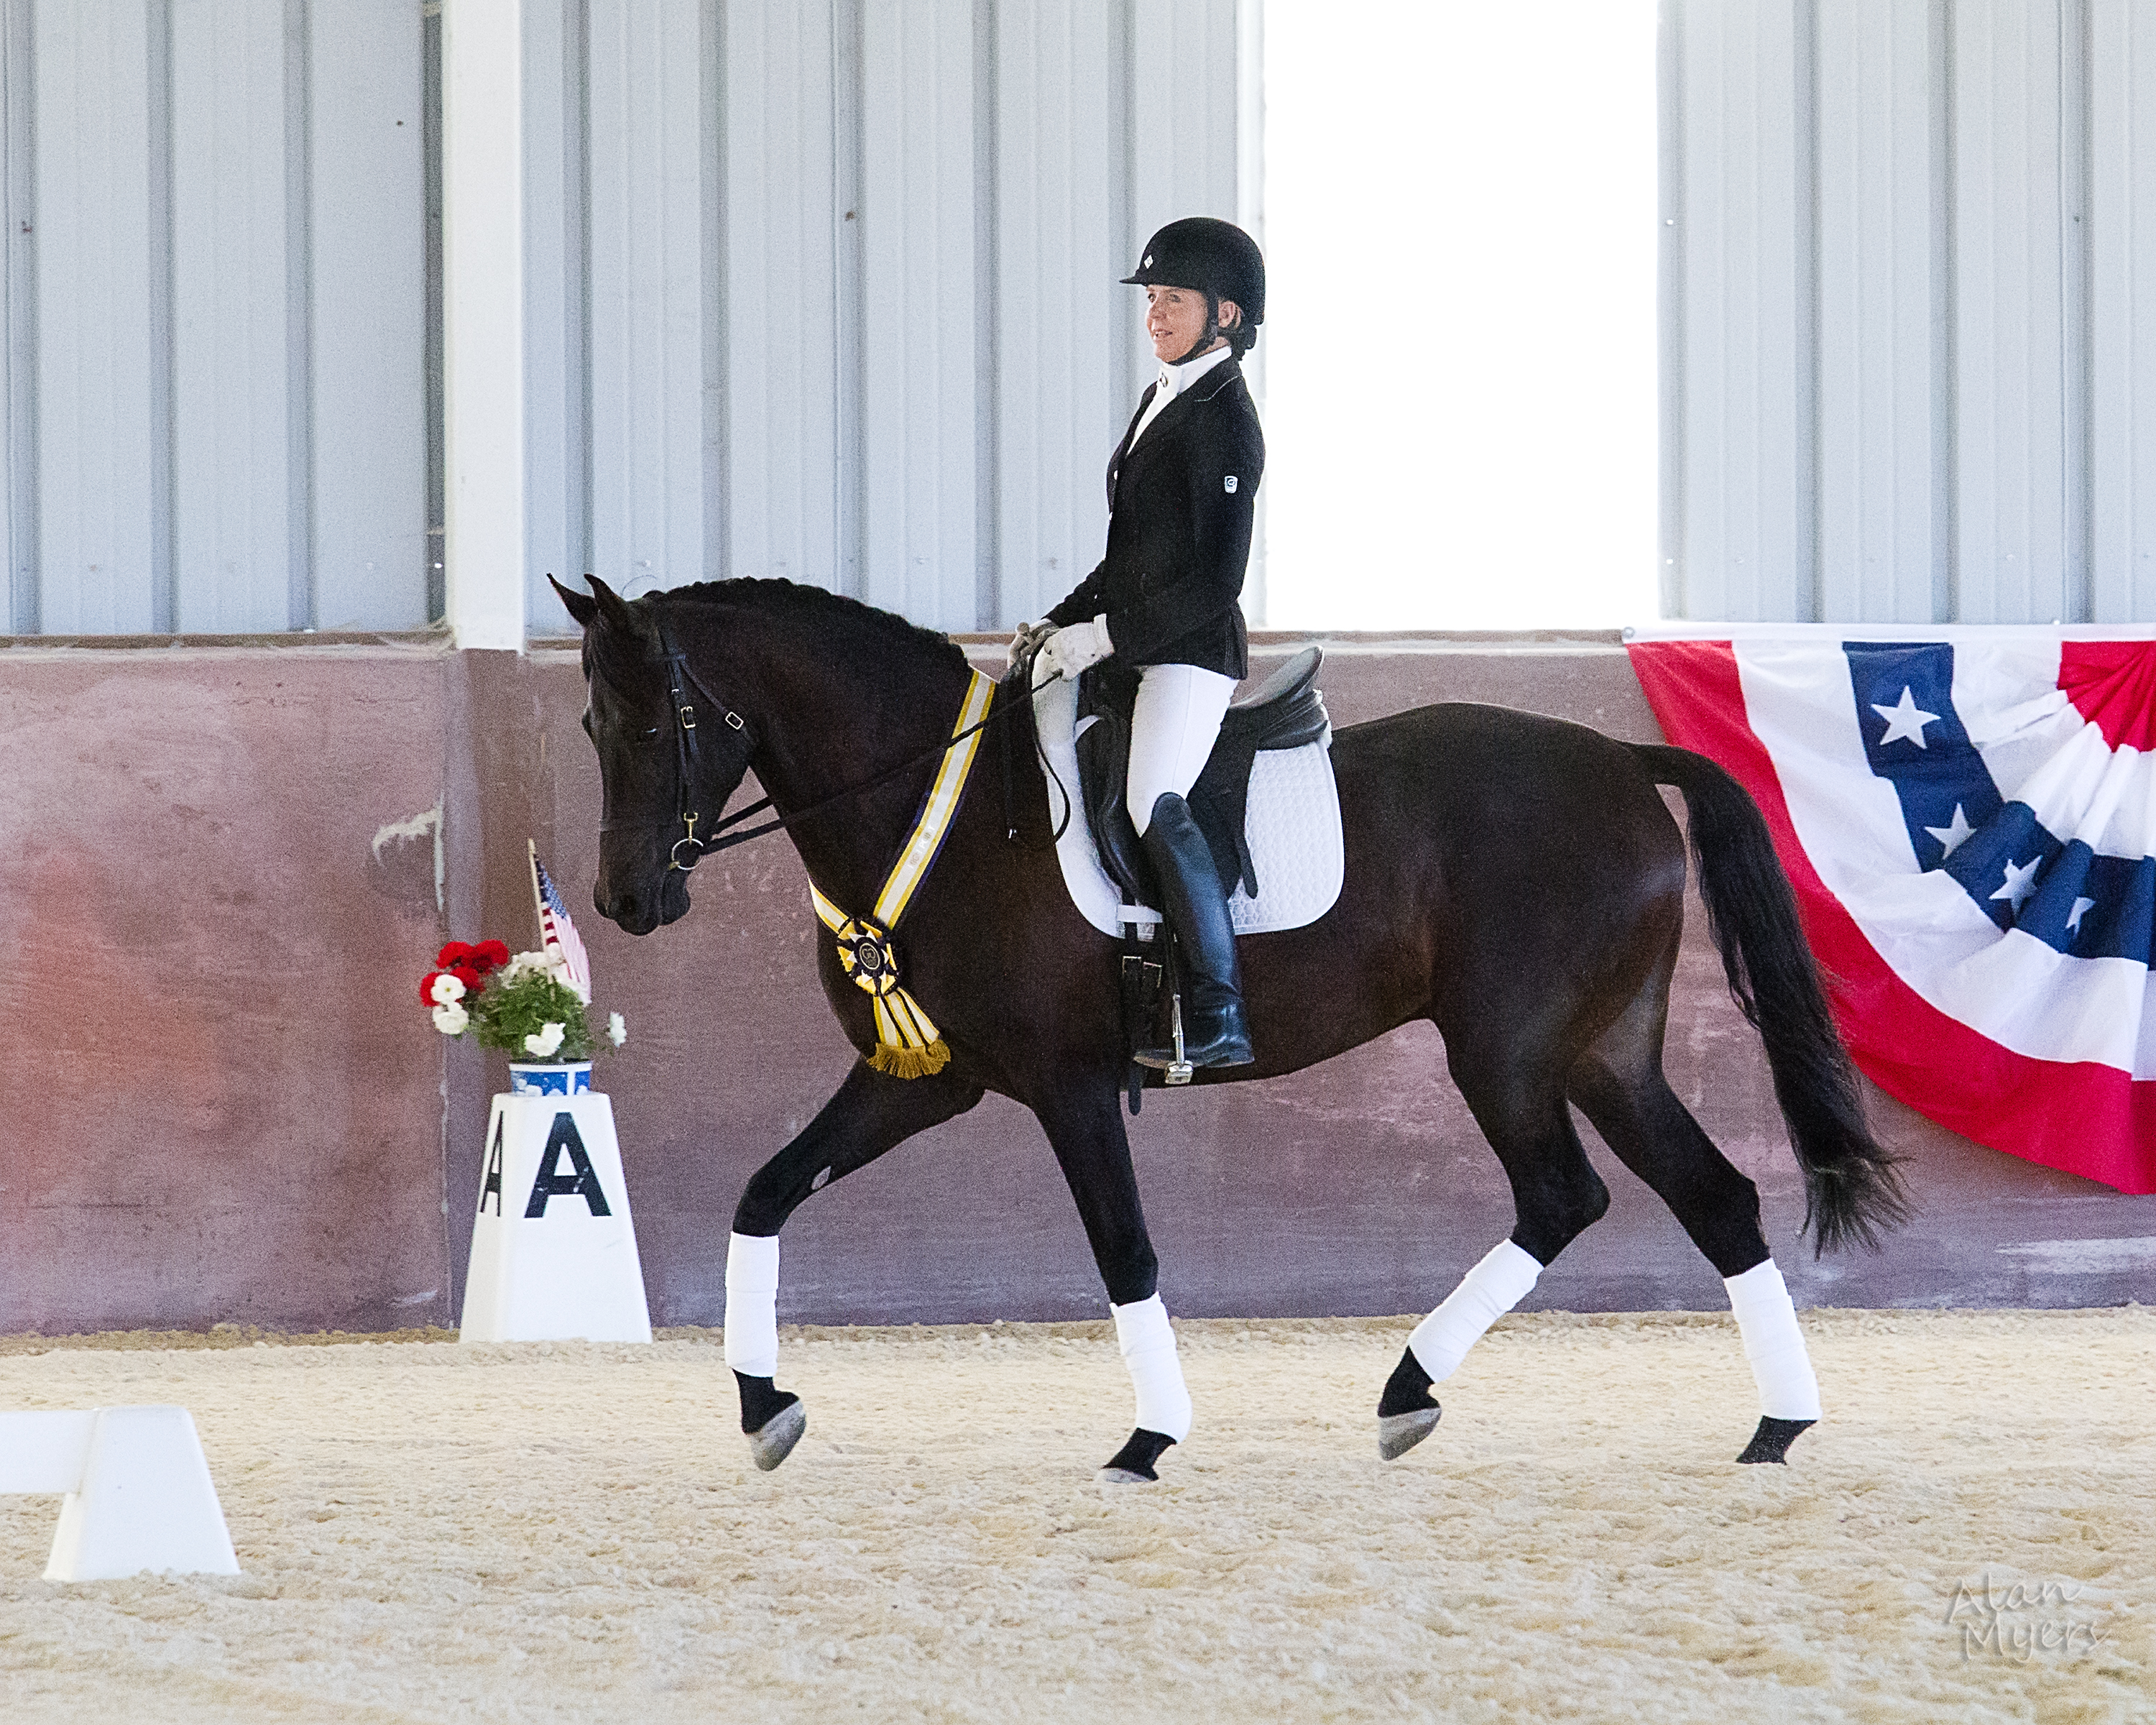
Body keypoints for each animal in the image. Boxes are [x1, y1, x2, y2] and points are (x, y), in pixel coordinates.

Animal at [561, 578, 1906, 1484]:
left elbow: (1126, 1252)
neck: (938, 809)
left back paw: (1411, 1391)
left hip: (1510, 1052)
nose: (628, 901)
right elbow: (765, 1194)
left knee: (1564, 1198)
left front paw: (1149, 1439)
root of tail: (1624, 761)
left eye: (658, 724)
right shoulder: (921, 1078)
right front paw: (763, 1408)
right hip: (1603, 1051)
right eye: (589, 730)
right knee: (1713, 1196)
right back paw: (1775, 1426)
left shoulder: (1068, 1088)